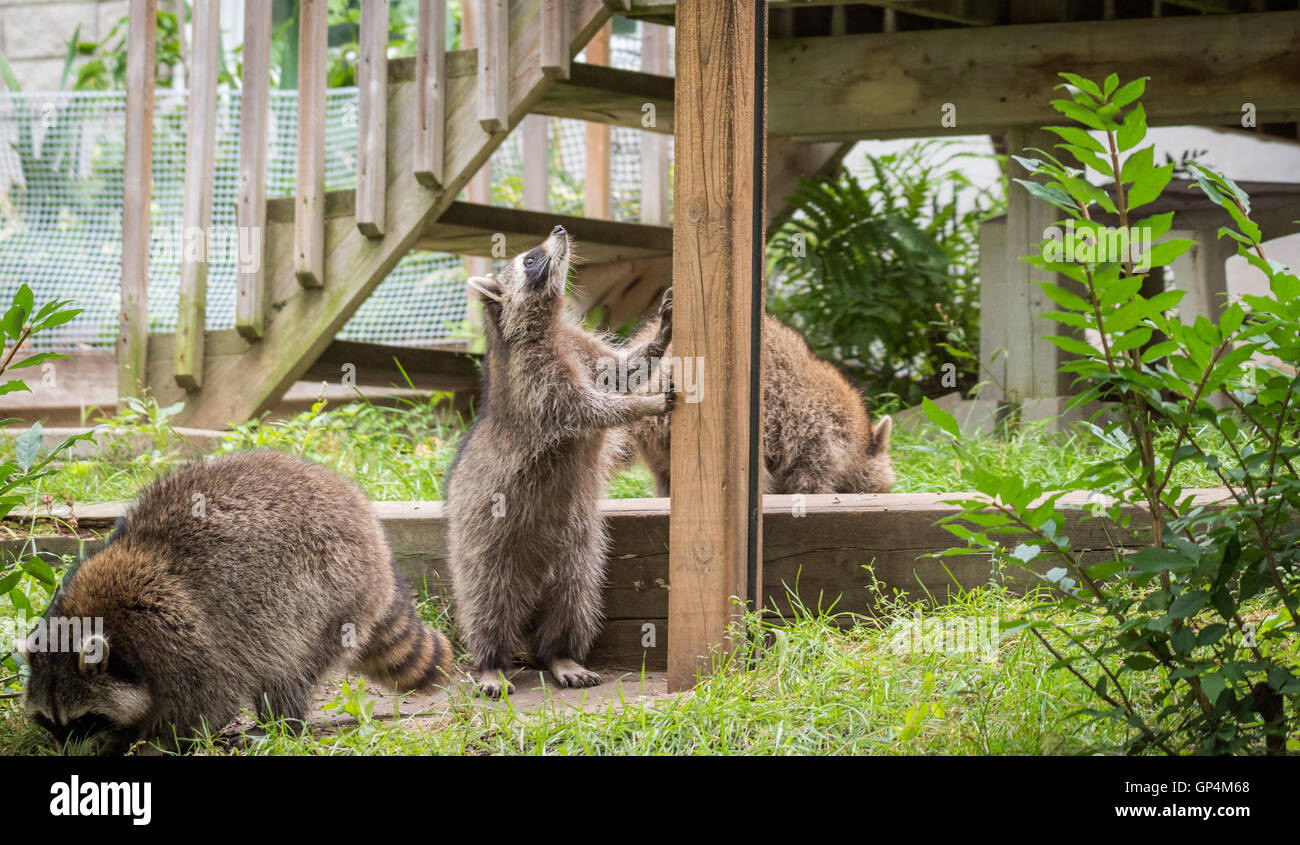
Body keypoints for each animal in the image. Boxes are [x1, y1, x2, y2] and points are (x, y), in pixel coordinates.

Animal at [20, 450, 452, 754]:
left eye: (84, 721)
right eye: (49, 722)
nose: (64, 753)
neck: (93, 617)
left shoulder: (177, 635)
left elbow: (206, 703)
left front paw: (150, 743)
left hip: (330, 586)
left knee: (288, 664)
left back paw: (280, 726)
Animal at [445, 226, 673, 698]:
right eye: (530, 260)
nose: (560, 230)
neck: (546, 324)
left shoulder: (577, 346)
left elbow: (622, 371)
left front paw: (660, 336)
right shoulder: (537, 381)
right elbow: (593, 410)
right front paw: (643, 405)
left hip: (581, 548)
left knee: (575, 597)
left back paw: (560, 653)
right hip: (481, 539)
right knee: (486, 600)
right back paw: (491, 660)